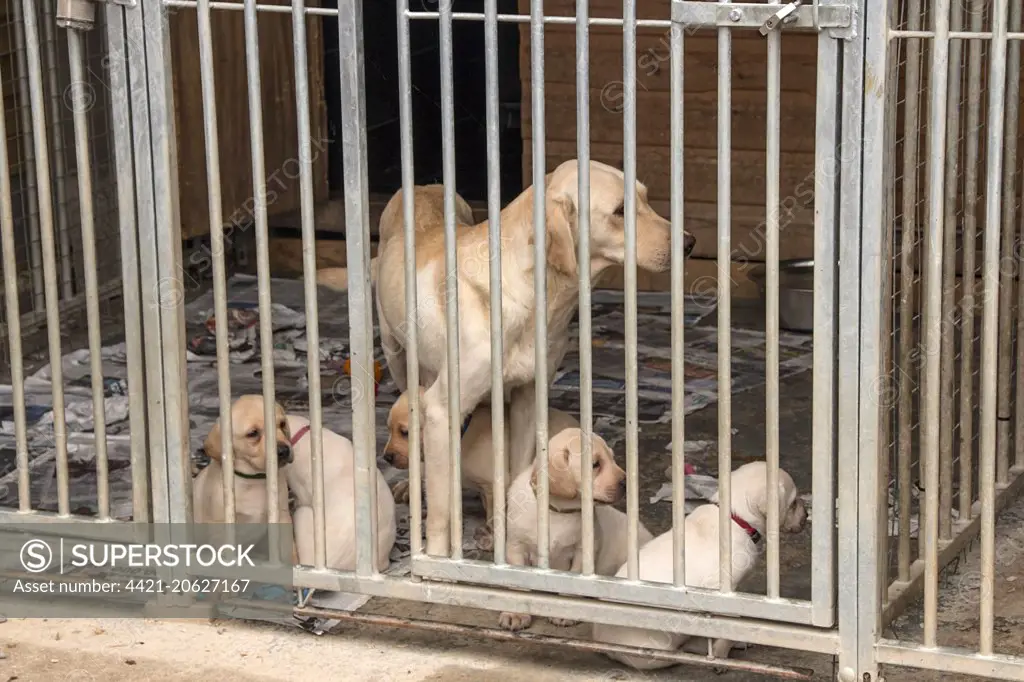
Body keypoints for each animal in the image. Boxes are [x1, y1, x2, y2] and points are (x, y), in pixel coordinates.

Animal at [374, 159, 696, 557]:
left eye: (645, 198)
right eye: (621, 210)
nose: (689, 243)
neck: (537, 293)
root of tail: (421, 186)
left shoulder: (528, 398)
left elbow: (513, 471)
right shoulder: (440, 408)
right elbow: (440, 510)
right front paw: (435, 555)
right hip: (397, 357)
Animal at [593, 458, 806, 667]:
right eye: (793, 503)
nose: (807, 515)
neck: (735, 517)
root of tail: (602, 642)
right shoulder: (722, 590)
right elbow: (725, 628)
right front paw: (721, 655)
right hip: (660, 648)